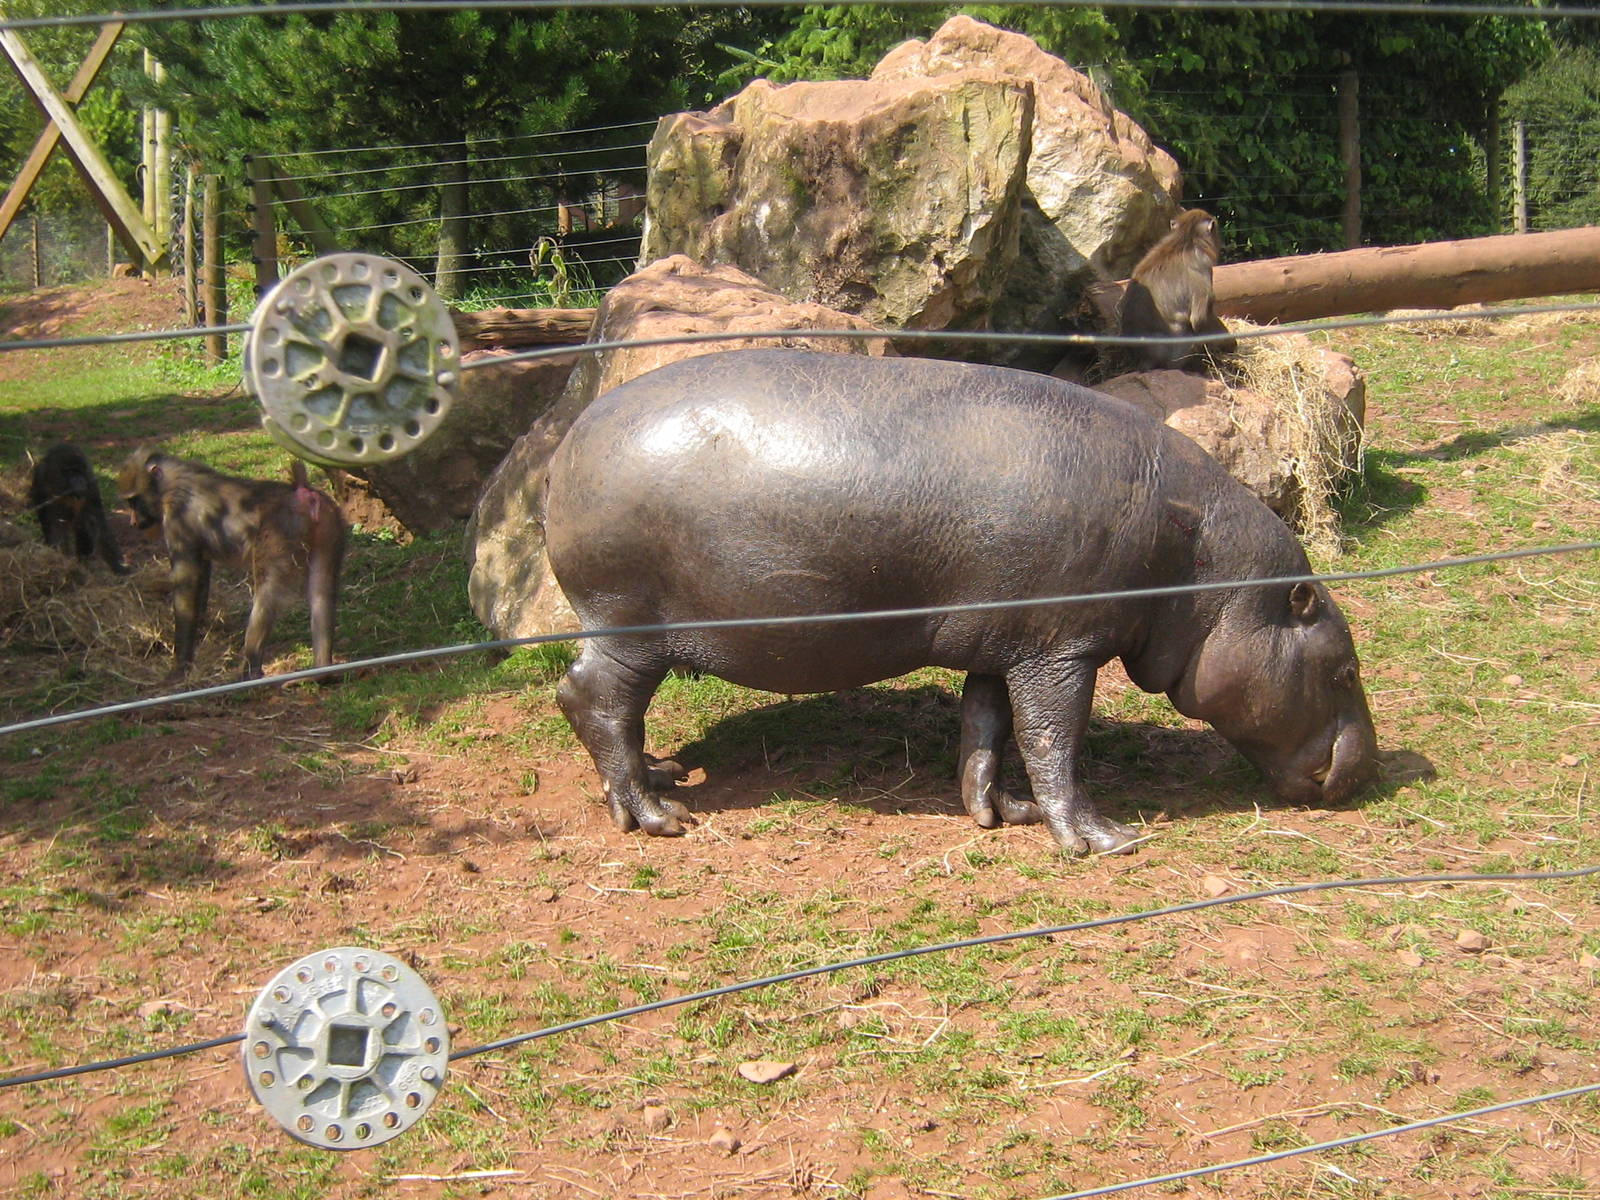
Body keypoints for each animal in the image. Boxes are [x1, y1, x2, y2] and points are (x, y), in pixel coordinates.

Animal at [543, 349, 1379, 853]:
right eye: (1344, 669)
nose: (1368, 768)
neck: (1206, 574)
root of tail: (568, 437)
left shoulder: (1006, 640)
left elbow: (988, 726)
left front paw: (1001, 813)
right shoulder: (1062, 649)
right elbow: (1053, 739)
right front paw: (1098, 839)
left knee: (610, 710)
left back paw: (662, 776)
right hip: (630, 625)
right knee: (591, 700)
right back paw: (658, 819)